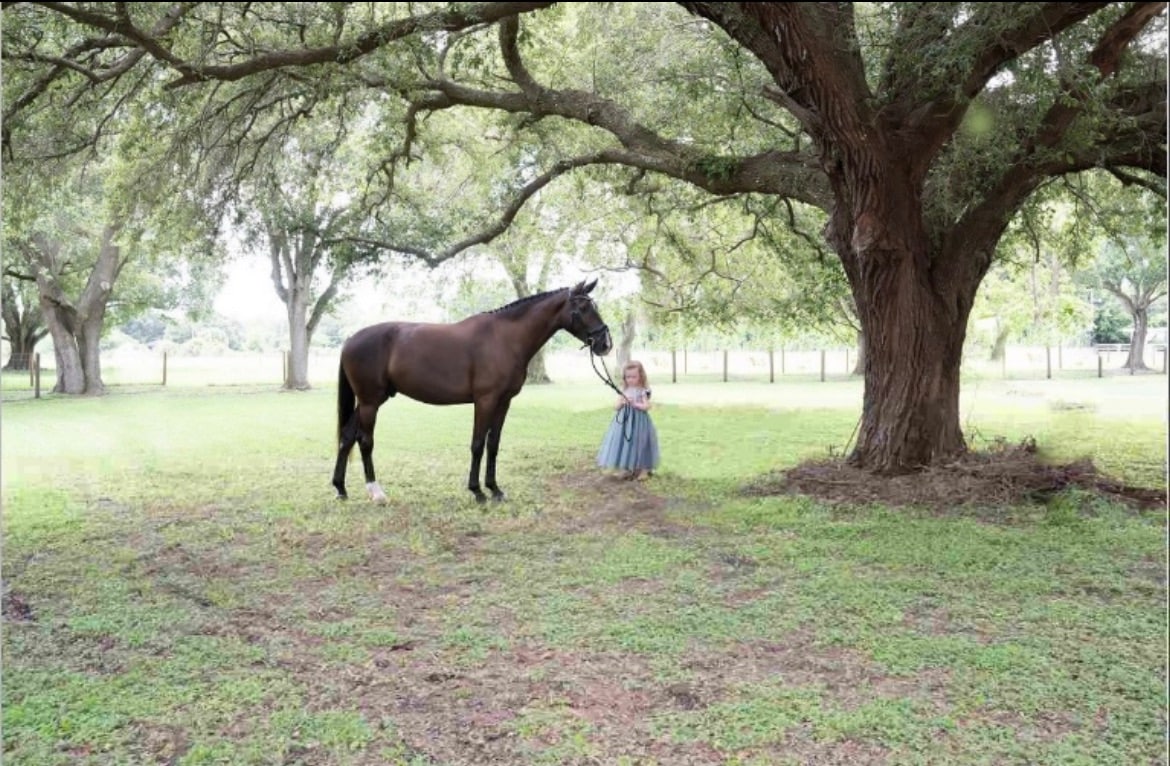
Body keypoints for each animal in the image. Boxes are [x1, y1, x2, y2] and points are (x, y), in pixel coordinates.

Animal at [332, 278, 613, 507]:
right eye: (584, 309)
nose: (605, 344)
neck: (504, 338)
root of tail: (350, 340)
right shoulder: (485, 400)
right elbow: (477, 444)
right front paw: (477, 492)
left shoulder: (503, 402)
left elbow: (493, 444)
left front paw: (495, 490)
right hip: (370, 402)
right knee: (365, 441)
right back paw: (376, 493)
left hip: (369, 401)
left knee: (346, 437)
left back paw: (341, 489)